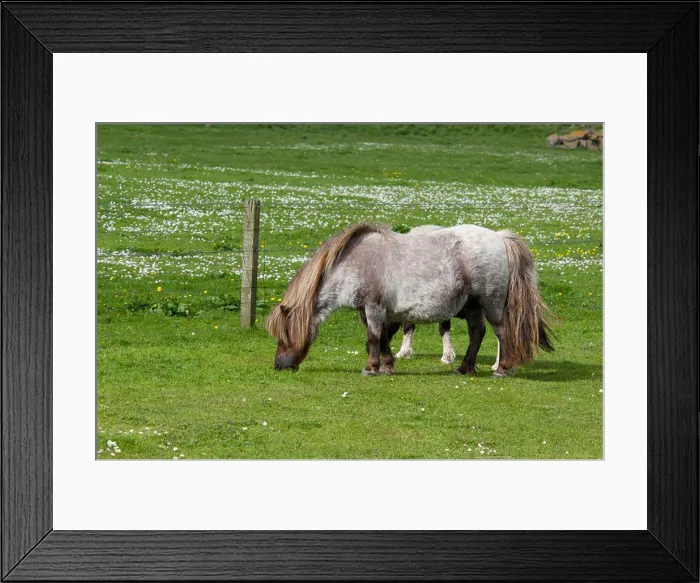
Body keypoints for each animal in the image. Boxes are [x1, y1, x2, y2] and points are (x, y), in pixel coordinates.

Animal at [266, 222, 553, 377]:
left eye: (284, 334)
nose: (279, 365)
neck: (353, 262)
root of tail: (500, 237)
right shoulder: (373, 311)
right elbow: (382, 338)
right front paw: (387, 366)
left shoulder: (372, 307)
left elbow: (374, 338)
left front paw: (371, 368)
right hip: (472, 305)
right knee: (477, 333)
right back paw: (464, 368)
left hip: (490, 303)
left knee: (501, 332)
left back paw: (501, 369)